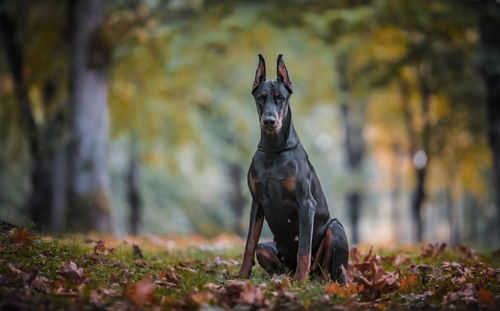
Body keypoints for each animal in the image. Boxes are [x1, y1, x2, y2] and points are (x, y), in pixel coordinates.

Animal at [237, 55, 348, 282]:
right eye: (261, 98)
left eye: (280, 98)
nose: (269, 121)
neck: (274, 150)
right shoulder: (257, 202)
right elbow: (249, 243)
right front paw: (242, 276)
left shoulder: (306, 204)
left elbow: (304, 249)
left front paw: (299, 283)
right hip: (269, 249)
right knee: (265, 251)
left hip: (335, 229)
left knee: (329, 271)